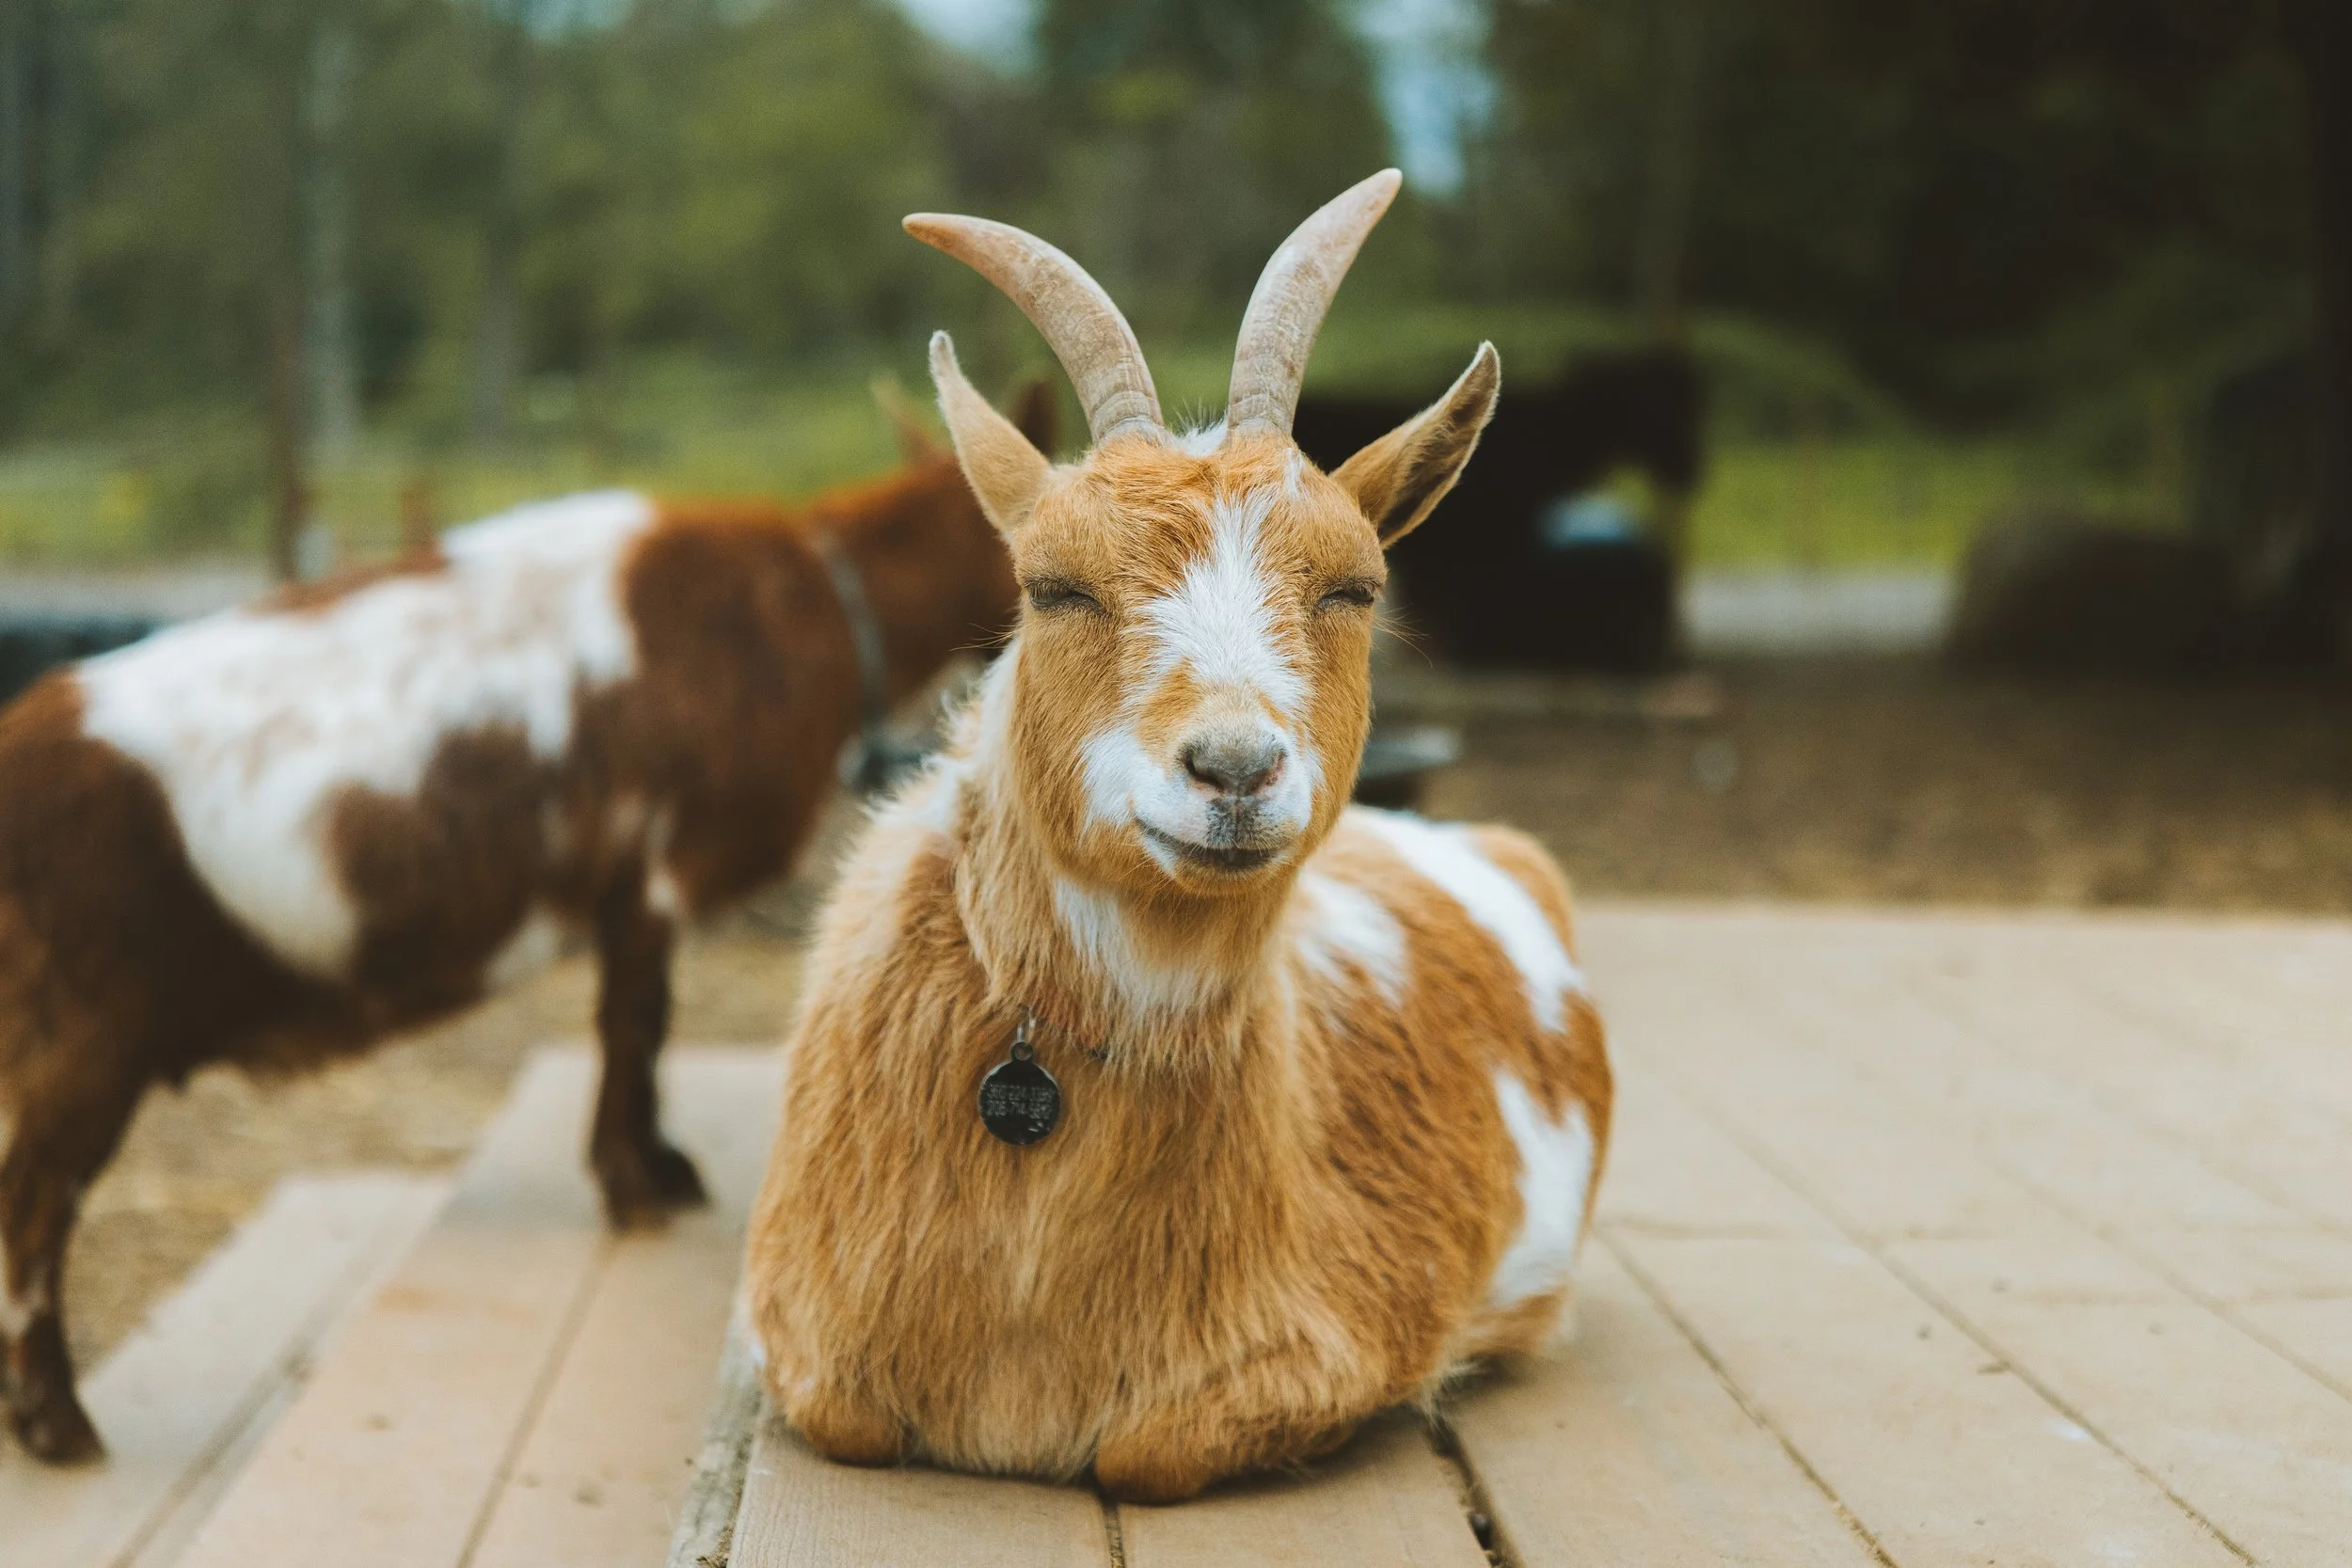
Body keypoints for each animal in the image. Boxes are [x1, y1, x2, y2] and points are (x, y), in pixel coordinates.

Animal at [0, 385, 1049, 1463]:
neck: (817, 602)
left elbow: (643, 1023)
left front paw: (663, 1167)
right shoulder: (652, 872)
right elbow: (637, 1023)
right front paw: (639, 1189)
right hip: (83, 1031)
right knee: (31, 1208)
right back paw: (58, 1424)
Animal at [746, 172, 1613, 1502]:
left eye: (1354, 586)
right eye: (1052, 583)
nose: (1235, 769)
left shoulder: (1332, 1330)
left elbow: (1146, 1447)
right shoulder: (798, 1331)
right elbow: (846, 1412)